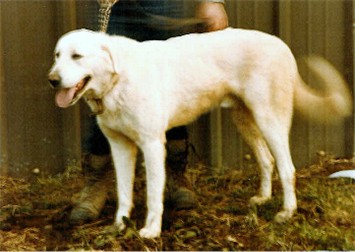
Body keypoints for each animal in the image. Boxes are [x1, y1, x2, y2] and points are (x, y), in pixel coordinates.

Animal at [48, 28, 354, 238]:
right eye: (57, 56)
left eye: (77, 56)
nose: (52, 80)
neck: (118, 80)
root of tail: (282, 46)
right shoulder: (120, 146)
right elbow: (124, 192)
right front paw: (119, 225)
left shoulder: (152, 144)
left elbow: (154, 194)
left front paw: (151, 231)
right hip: (245, 119)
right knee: (267, 160)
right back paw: (263, 198)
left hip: (270, 120)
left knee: (287, 168)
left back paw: (286, 212)